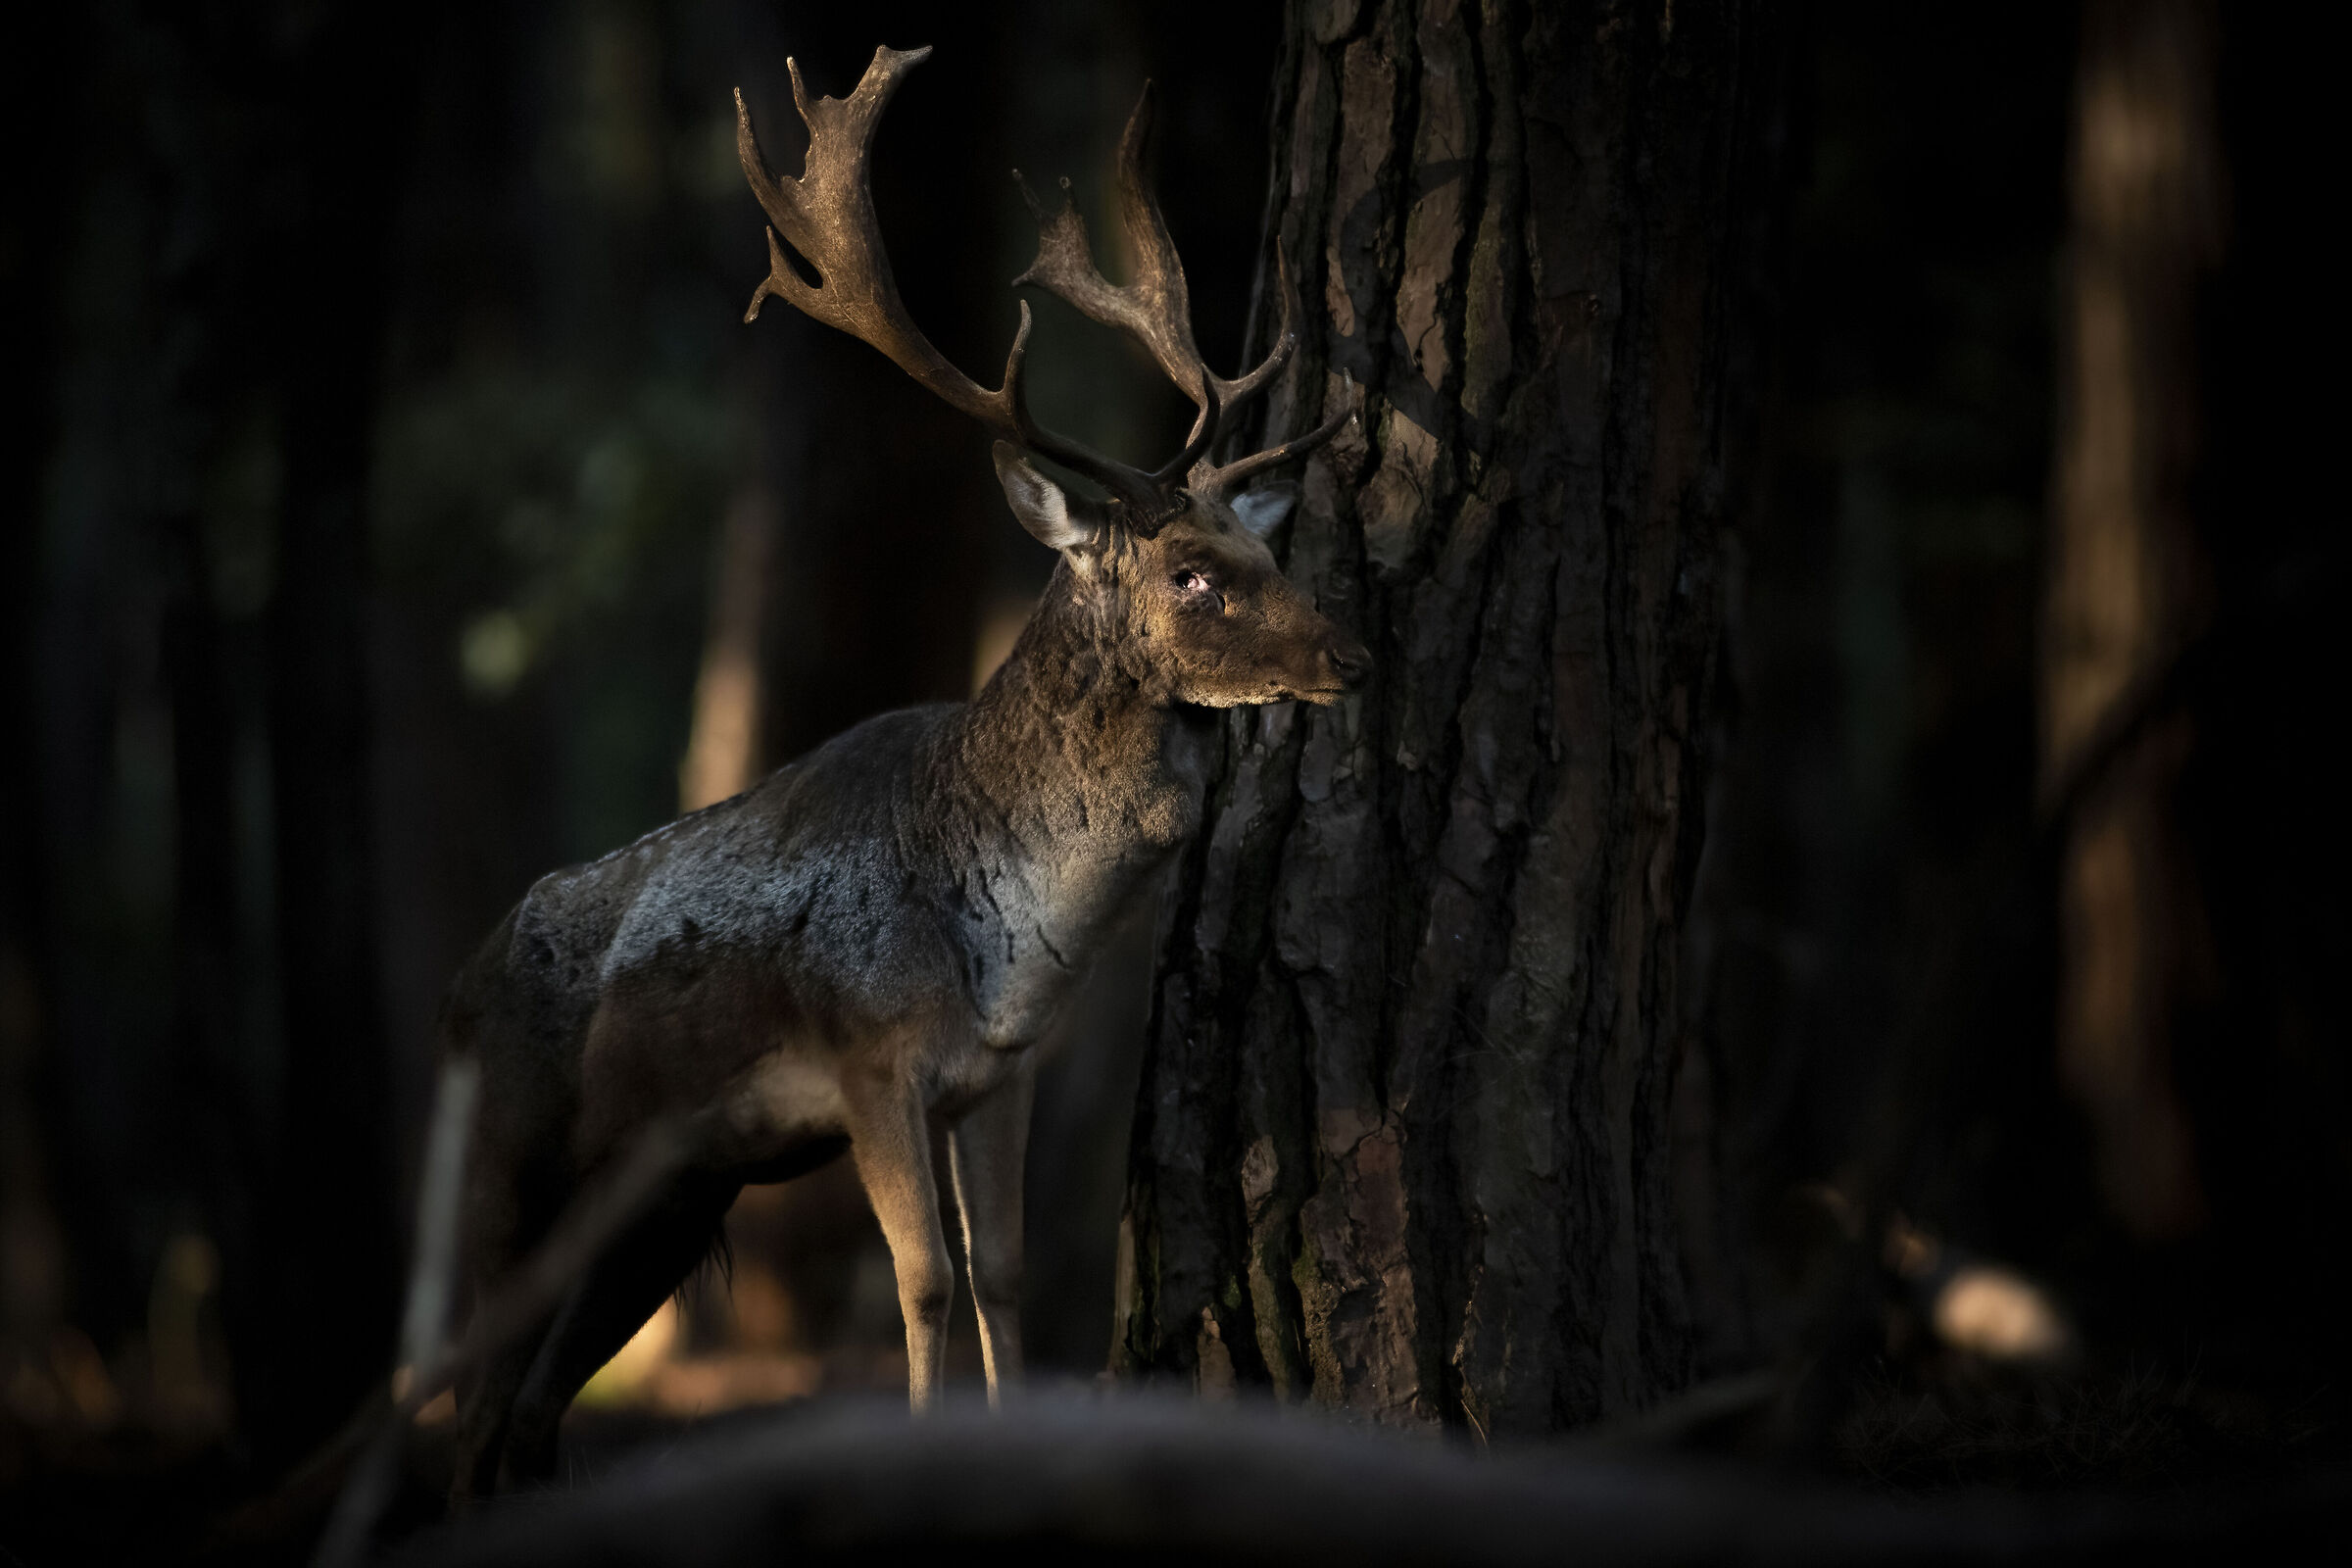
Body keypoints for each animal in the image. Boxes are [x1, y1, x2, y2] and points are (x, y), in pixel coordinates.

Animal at [437, 43, 1368, 1497]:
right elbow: (924, 1283)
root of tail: (457, 992)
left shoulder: (1000, 1073)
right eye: (1192, 574)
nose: (1349, 650)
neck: (1011, 929)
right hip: (509, 1153)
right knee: (465, 1401)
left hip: (666, 1193)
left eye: (1264, 549)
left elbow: (1003, 1276)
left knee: (524, 1414)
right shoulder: (871, 1058)